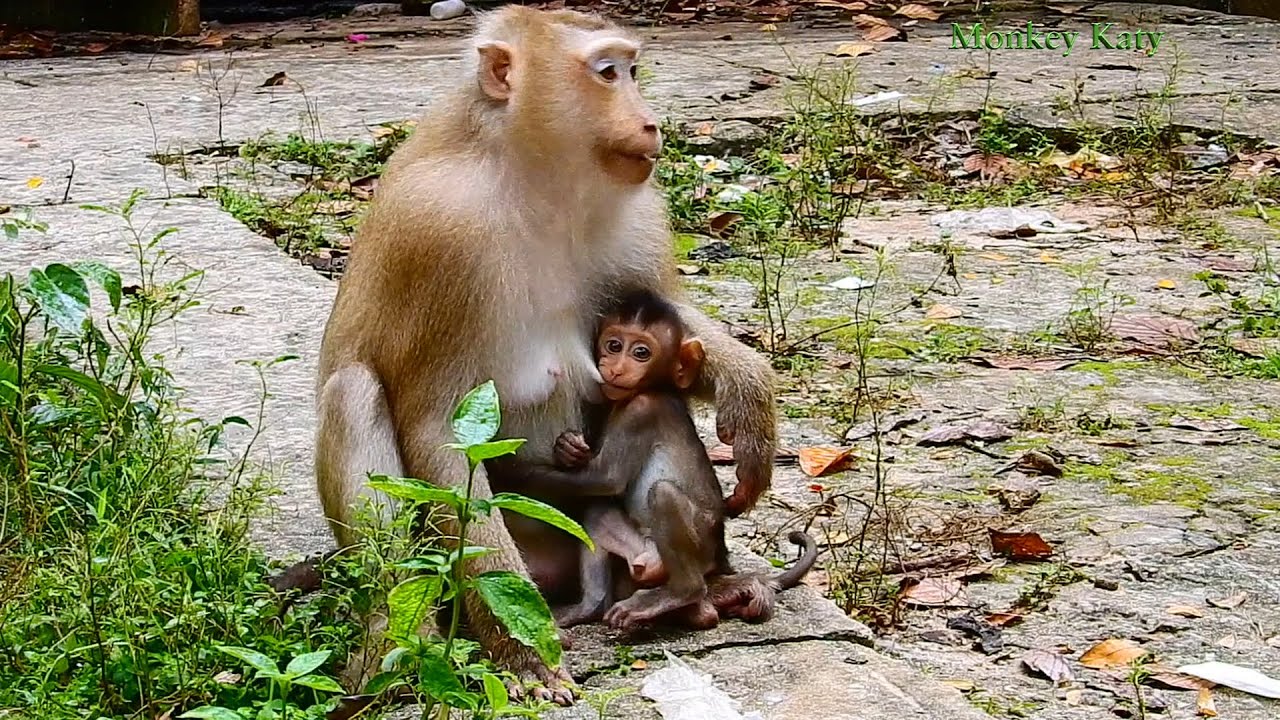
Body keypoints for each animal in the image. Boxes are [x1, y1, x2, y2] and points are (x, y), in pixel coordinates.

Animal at [312, 6, 776, 705]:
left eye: (633, 70)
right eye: (607, 72)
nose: (650, 121)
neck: (530, 180)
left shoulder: (638, 210)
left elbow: (670, 324)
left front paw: (750, 396)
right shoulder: (440, 237)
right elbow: (439, 431)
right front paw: (520, 650)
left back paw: (705, 590)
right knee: (354, 392)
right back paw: (396, 635)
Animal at [491, 289, 817, 631]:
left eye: (641, 352)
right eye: (614, 345)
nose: (616, 367)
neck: (650, 388)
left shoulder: (641, 411)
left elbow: (605, 479)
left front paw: (508, 469)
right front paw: (568, 449)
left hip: (698, 549)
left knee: (662, 495)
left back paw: (681, 594)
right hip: (639, 550)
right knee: (594, 515)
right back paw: (591, 608)